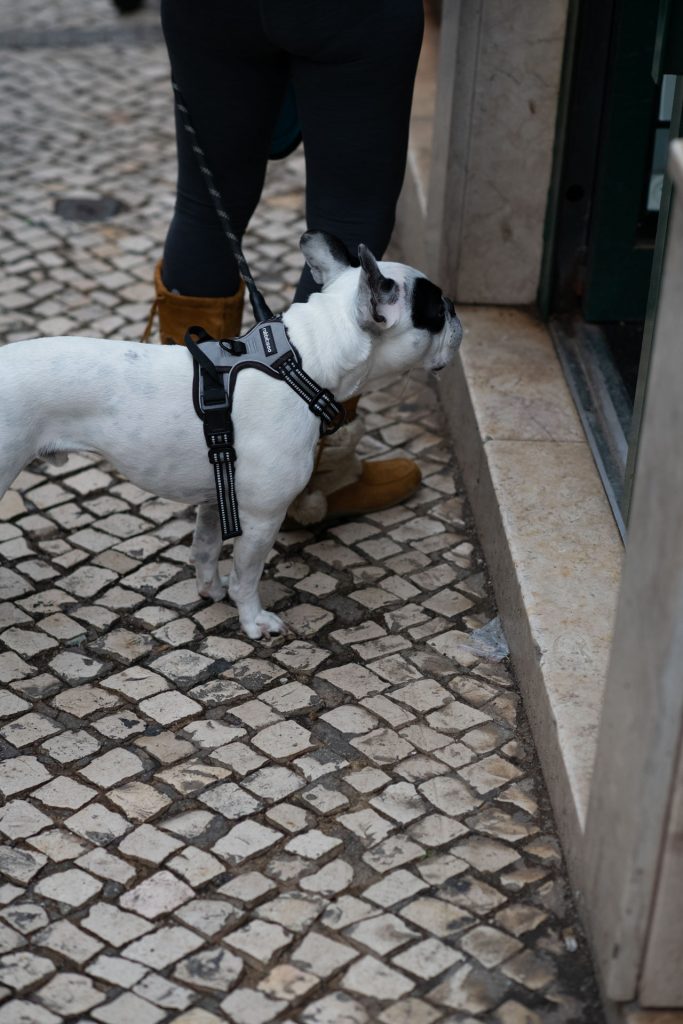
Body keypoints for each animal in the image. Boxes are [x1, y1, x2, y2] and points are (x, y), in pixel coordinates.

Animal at [0, 232, 462, 634]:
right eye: (437, 312)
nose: (457, 312)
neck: (303, 365)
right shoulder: (262, 516)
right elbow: (247, 573)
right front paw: (253, 620)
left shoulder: (216, 495)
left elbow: (204, 548)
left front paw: (211, 591)